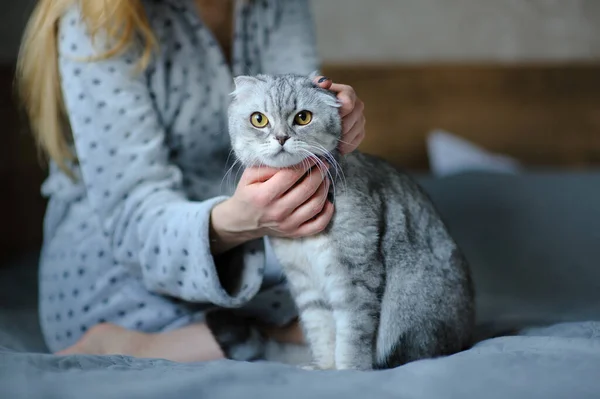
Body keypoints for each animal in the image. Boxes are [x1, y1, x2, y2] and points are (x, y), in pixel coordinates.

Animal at [218, 73, 476, 370]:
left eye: (303, 117)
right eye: (258, 119)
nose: (281, 137)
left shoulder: (355, 277)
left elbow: (352, 335)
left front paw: (349, 370)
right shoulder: (305, 281)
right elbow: (321, 332)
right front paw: (324, 368)